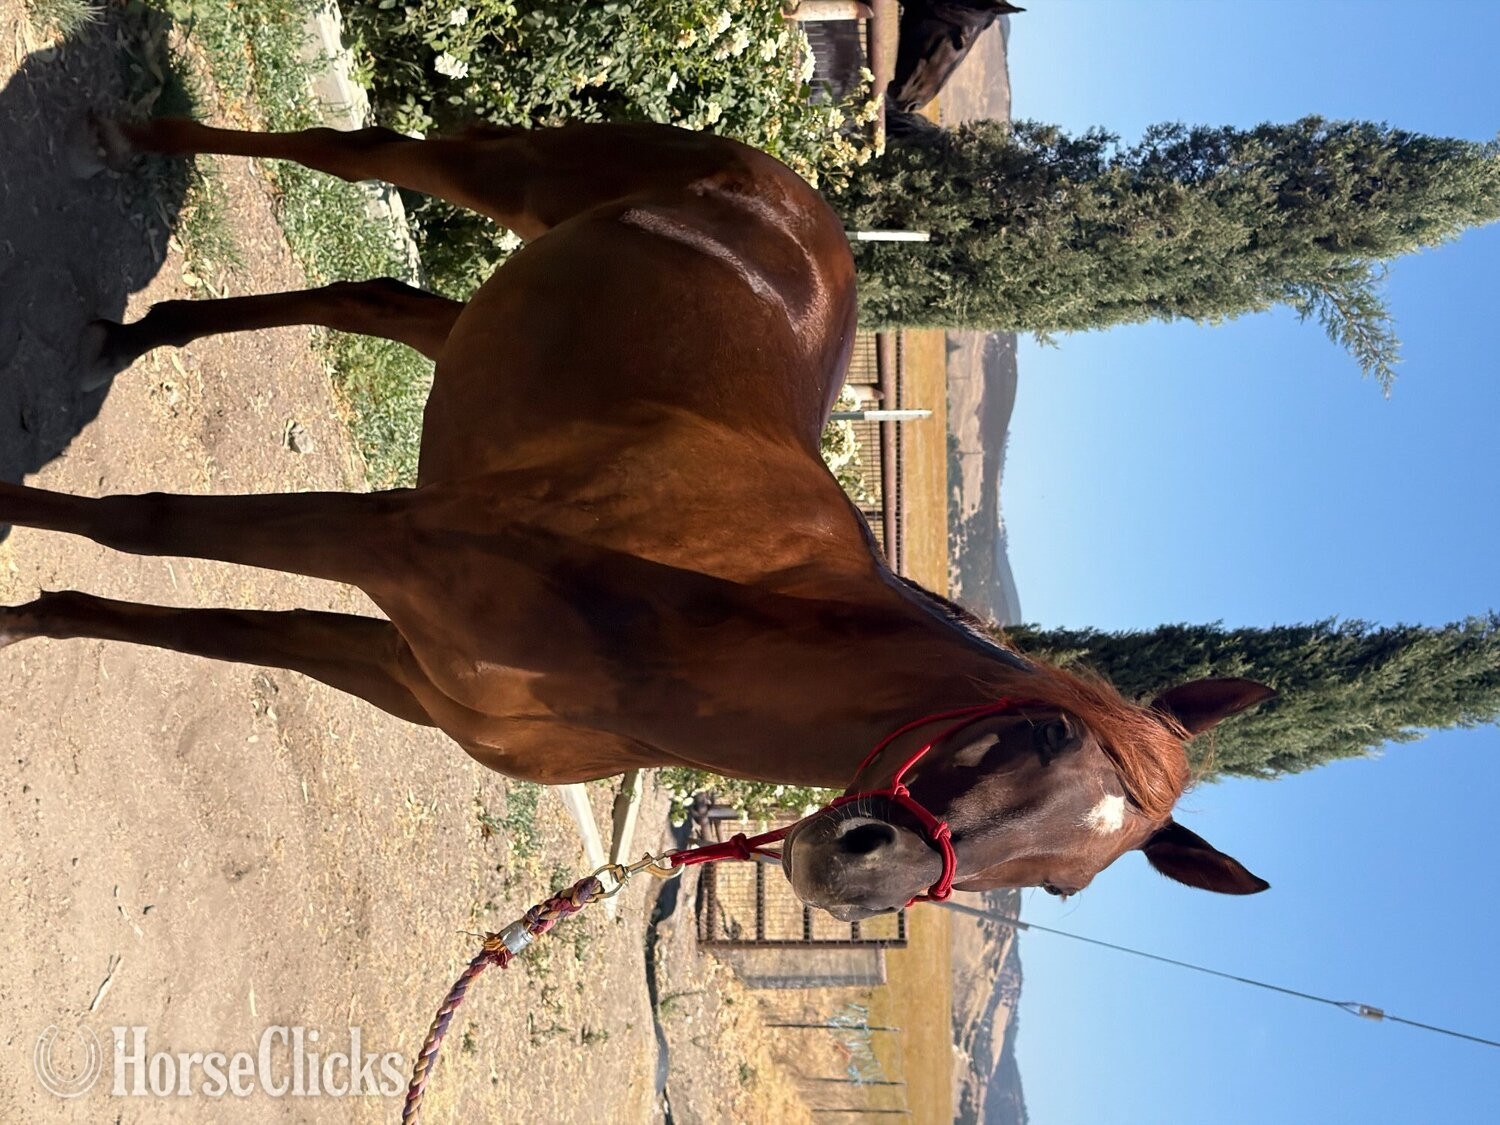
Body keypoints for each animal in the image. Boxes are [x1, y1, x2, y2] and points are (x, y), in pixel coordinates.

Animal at [0, 116, 1272, 919]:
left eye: (1067, 881)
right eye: (1043, 731)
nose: (862, 871)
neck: (682, 631)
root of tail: (805, 200)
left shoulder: (399, 665)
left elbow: (203, 629)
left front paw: (29, 620)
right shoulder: (385, 540)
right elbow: (147, 525)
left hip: (479, 321)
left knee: (376, 297)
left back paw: (148, 331)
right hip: (511, 174)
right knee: (354, 153)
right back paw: (132, 133)